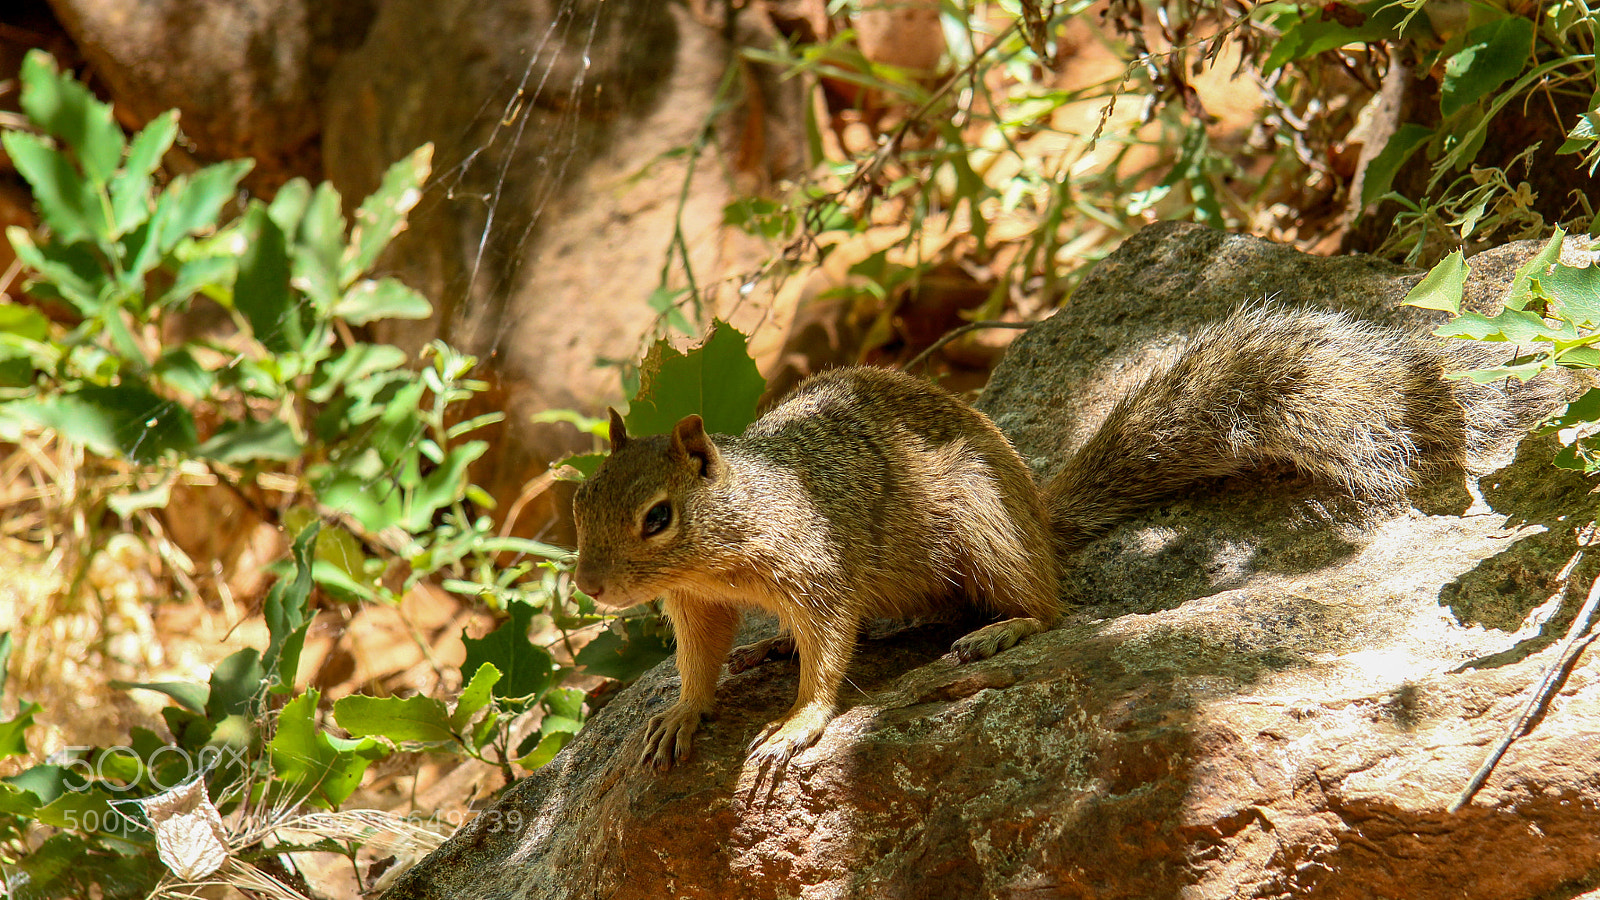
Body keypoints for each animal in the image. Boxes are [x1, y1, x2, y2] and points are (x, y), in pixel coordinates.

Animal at [572, 305, 1549, 770]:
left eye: (656, 516)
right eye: (578, 502)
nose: (590, 589)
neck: (725, 536)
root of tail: (1039, 517)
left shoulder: (814, 568)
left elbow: (828, 645)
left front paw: (799, 721)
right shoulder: (695, 603)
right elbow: (699, 660)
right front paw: (683, 711)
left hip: (983, 528)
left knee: (1043, 605)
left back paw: (1003, 628)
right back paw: (769, 653)